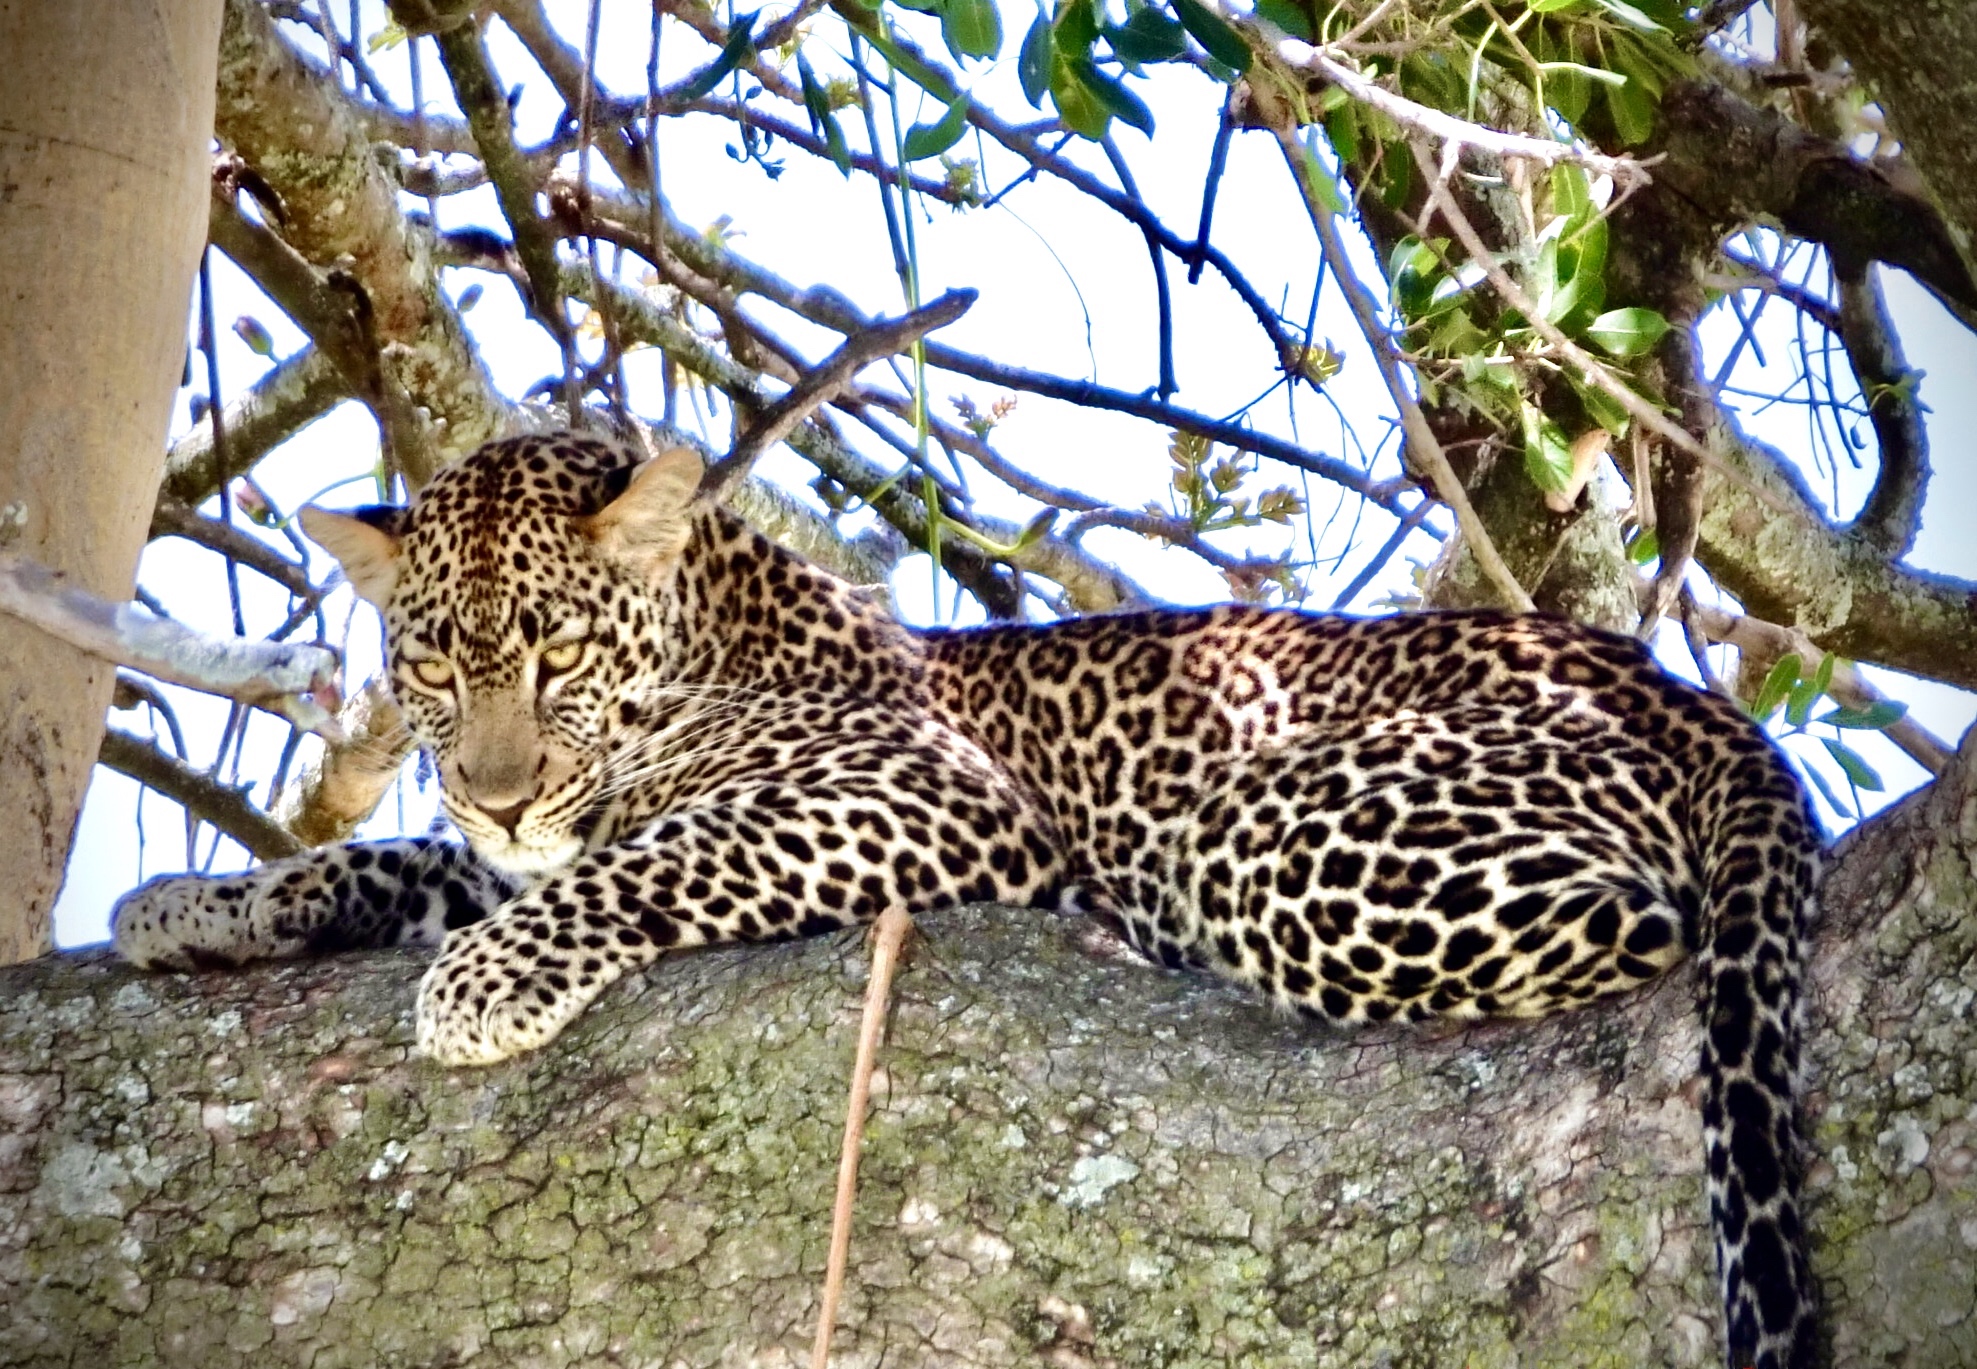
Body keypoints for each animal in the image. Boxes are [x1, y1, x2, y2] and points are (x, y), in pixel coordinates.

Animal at [112, 433, 1818, 1369]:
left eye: (556, 651)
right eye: (431, 664)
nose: (498, 783)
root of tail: (1691, 705)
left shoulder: (930, 796)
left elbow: (655, 855)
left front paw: (487, 979)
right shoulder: (501, 835)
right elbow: (406, 862)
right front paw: (197, 902)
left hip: (1263, 829)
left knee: (1643, 929)